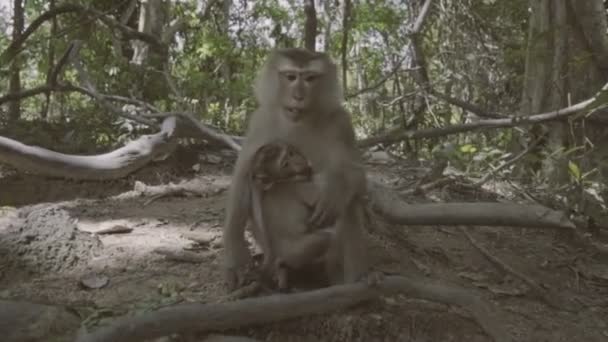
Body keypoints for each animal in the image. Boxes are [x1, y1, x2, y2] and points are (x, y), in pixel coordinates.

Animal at [252, 140, 338, 290]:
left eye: (291, 153)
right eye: (286, 164)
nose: (299, 162)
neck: (281, 180)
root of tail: (275, 253)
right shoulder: (298, 187)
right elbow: (319, 198)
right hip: (296, 252)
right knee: (325, 239)